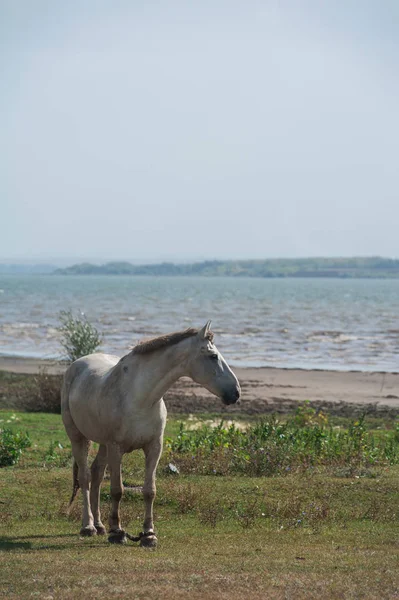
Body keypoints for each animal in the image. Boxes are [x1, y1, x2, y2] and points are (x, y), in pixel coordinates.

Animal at [60, 322, 241, 548]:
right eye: (213, 356)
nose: (236, 392)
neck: (139, 397)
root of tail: (77, 365)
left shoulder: (154, 447)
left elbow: (149, 491)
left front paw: (148, 534)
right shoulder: (116, 448)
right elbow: (117, 490)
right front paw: (117, 532)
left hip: (103, 444)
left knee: (97, 474)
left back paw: (101, 525)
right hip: (78, 437)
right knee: (85, 478)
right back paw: (88, 526)